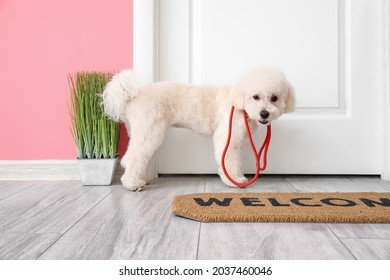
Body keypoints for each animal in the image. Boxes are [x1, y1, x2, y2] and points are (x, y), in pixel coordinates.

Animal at [102, 67, 294, 190]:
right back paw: (132, 183)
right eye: (255, 96)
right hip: (149, 132)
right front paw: (235, 180)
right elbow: (230, 161)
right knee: (133, 157)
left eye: (275, 98)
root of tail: (133, 95)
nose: (264, 113)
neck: (239, 101)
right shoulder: (227, 139)